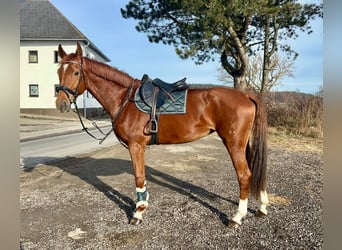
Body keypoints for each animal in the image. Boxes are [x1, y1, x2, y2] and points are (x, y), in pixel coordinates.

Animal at [56, 42, 268, 227]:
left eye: (76, 72)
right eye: (59, 71)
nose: (61, 104)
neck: (126, 100)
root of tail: (247, 96)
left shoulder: (136, 146)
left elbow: (139, 177)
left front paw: (138, 212)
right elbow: (142, 177)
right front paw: (143, 204)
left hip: (234, 144)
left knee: (244, 175)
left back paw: (237, 217)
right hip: (245, 144)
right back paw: (262, 208)